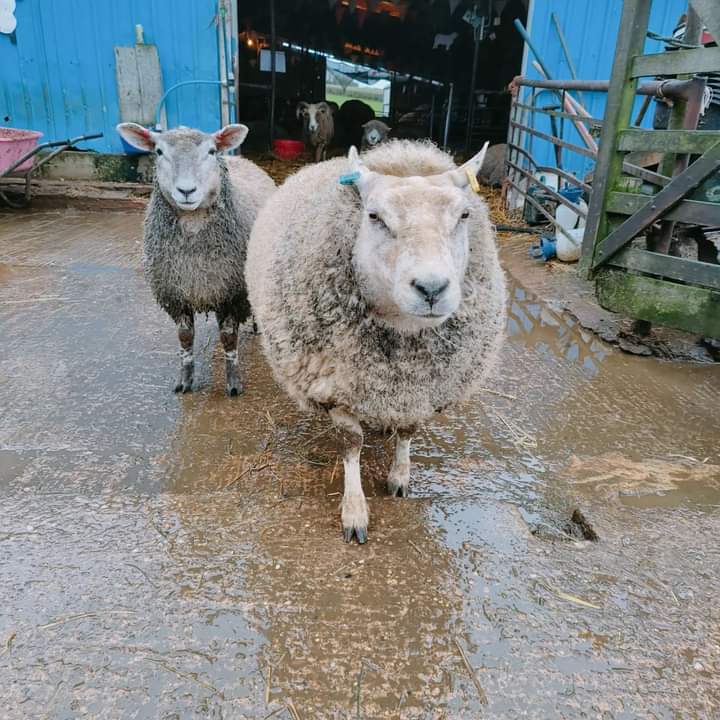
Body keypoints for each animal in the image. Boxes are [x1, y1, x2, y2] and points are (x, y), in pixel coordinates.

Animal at [116, 122, 275, 396]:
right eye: (159, 151)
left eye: (211, 151)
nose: (186, 191)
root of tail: (240, 158)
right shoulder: (176, 295)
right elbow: (185, 338)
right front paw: (185, 380)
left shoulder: (232, 293)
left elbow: (229, 338)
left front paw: (233, 383)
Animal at [246, 140, 507, 543]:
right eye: (374, 217)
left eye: (464, 214)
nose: (432, 288)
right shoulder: (334, 387)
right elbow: (351, 445)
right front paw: (354, 511)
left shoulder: (421, 390)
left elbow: (409, 430)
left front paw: (400, 477)